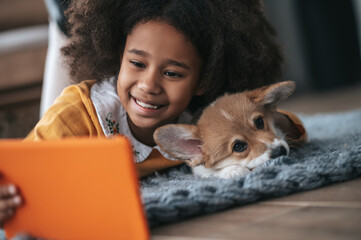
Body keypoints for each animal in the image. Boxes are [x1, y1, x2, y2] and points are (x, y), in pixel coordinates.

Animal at [154, 81, 296, 178]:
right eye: (238, 146)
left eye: (259, 122)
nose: (280, 151)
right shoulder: (200, 170)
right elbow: (212, 171)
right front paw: (234, 170)